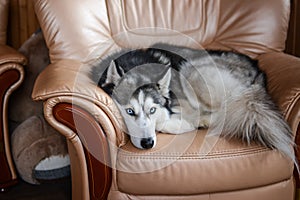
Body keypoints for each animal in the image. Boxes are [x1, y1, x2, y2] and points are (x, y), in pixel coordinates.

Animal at [90, 43, 294, 162]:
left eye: (152, 110)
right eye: (130, 111)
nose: (148, 143)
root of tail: (258, 72)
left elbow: (173, 120)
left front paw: (176, 123)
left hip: (191, 71)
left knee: (226, 114)